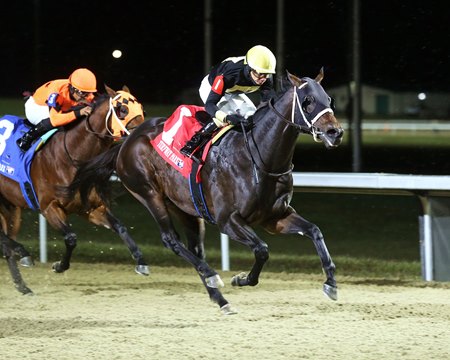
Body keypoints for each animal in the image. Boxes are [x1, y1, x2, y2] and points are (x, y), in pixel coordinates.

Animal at [0, 86, 148, 294]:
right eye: (122, 109)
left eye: (142, 108)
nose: (142, 135)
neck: (71, 156)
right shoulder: (49, 207)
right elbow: (71, 238)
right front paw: (59, 266)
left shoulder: (91, 209)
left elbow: (120, 226)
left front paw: (141, 262)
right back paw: (24, 253)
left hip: (11, 208)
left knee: (6, 244)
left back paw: (22, 284)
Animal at [67, 70, 342, 312]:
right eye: (307, 101)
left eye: (328, 99)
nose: (335, 132)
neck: (259, 157)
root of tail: (129, 138)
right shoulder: (227, 220)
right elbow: (262, 250)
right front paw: (241, 279)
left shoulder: (275, 217)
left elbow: (314, 231)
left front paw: (331, 283)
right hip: (148, 193)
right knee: (171, 240)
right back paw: (212, 276)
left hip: (185, 208)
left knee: (195, 248)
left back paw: (220, 298)